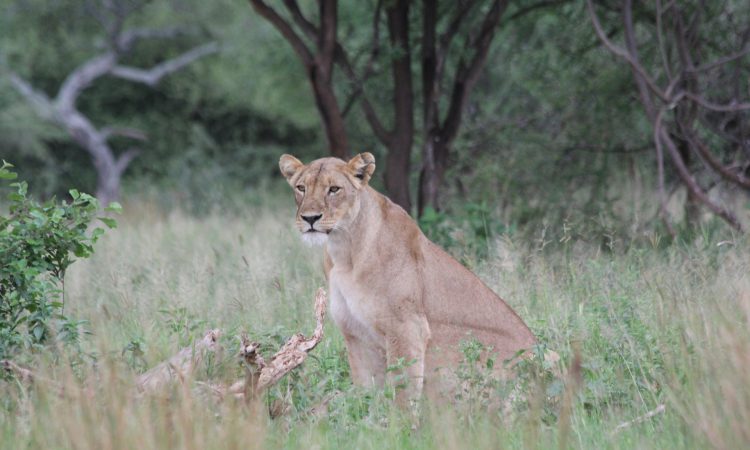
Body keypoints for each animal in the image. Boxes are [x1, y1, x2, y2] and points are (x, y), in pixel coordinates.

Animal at [279, 152, 536, 405]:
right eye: (301, 188)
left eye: (334, 189)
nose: (310, 218)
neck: (344, 251)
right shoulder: (355, 334)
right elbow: (365, 394)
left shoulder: (406, 328)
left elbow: (403, 392)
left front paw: (400, 419)